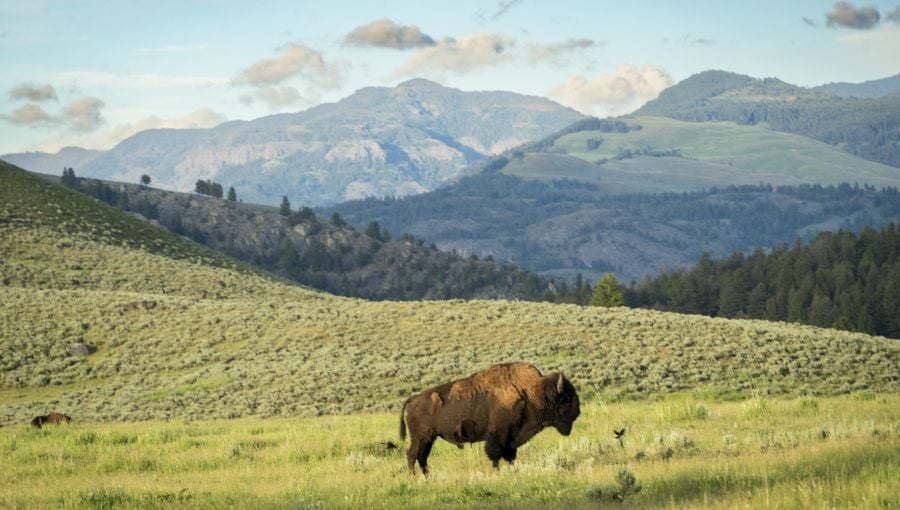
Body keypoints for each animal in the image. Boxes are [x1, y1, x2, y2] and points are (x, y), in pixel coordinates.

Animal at [399, 362, 580, 475]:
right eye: (566, 398)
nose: (578, 411)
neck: (532, 392)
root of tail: (412, 399)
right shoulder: (499, 435)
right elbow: (495, 454)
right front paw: (497, 471)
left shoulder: (511, 438)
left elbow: (510, 455)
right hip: (420, 437)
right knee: (412, 454)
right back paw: (414, 477)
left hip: (429, 438)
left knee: (422, 457)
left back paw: (426, 476)